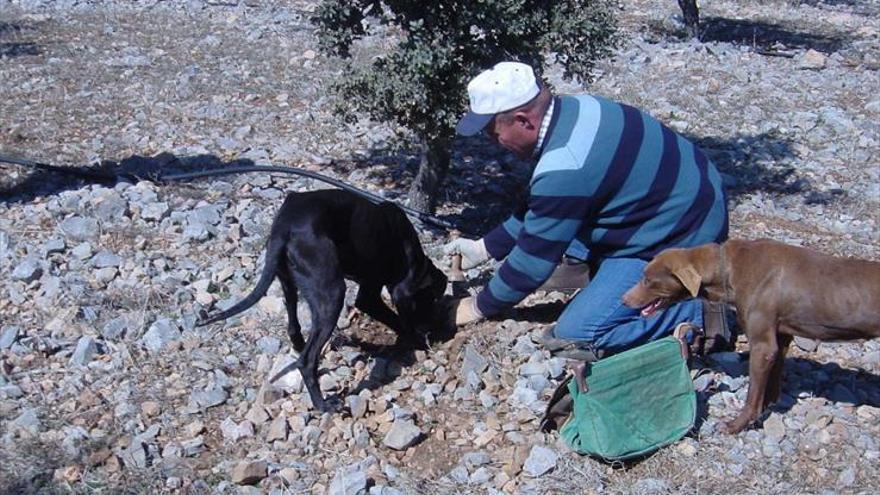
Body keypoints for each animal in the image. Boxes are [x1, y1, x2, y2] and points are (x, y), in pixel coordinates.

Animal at [199, 190, 446, 410]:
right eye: (431, 301)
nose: (436, 329)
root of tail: (283, 227)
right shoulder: (371, 296)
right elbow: (399, 320)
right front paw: (417, 341)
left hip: (289, 281)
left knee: (293, 323)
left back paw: (299, 344)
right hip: (332, 293)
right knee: (306, 362)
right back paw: (323, 404)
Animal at [620, 240, 880, 434]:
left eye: (648, 280)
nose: (623, 300)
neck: (726, 268)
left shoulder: (763, 346)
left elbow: (752, 395)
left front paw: (736, 425)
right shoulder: (780, 337)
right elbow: (772, 381)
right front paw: (770, 406)